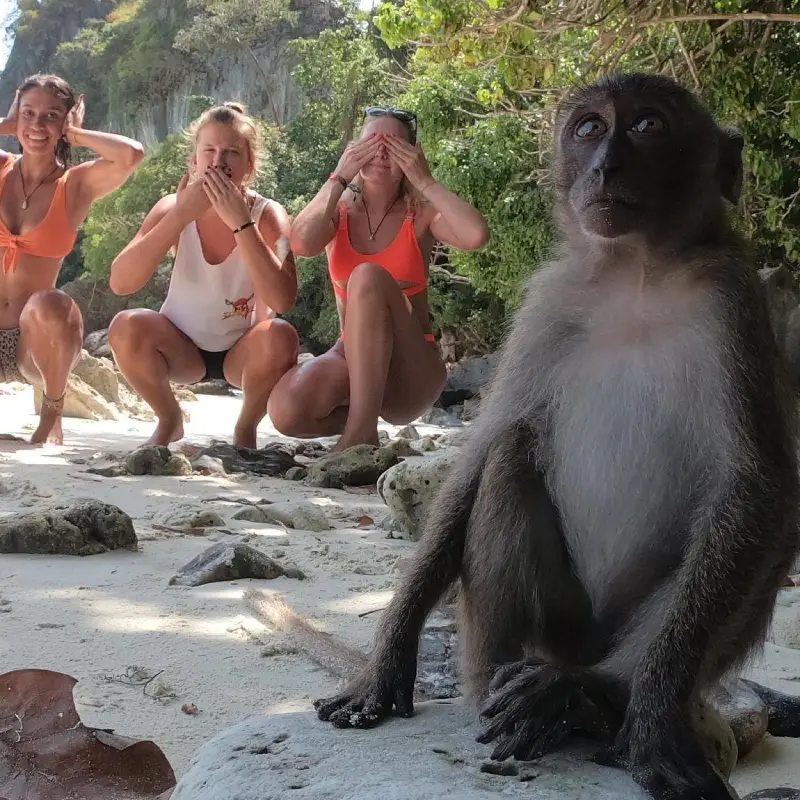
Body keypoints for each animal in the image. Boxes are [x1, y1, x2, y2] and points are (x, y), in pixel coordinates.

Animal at [306, 72, 800, 800]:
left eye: (648, 126)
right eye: (590, 129)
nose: (605, 167)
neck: (635, 273)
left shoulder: (733, 302)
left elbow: (755, 486)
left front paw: (651, 722)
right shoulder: (547, 301)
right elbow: (482, 452)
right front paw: (386, 661)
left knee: (764, 529)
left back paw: (590, 696)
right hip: (547, 627)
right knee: (510, 455)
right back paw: (516, 689)